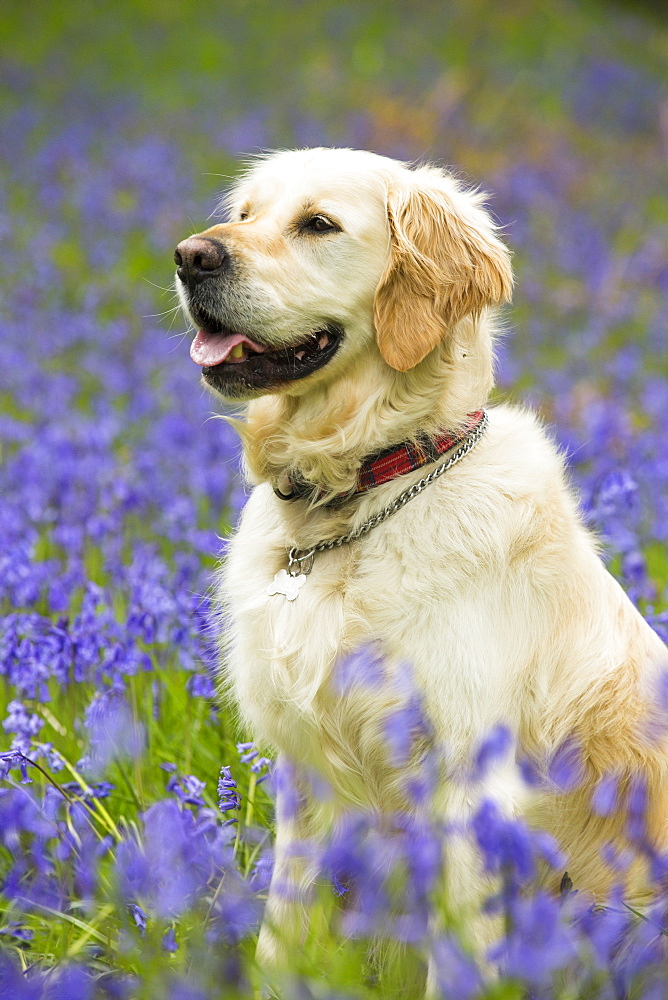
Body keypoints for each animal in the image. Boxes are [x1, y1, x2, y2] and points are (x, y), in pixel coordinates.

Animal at [174, 148, 668, 992]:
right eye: (243, 215)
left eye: (318, 224)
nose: (189, 256)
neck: (354, 499)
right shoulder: (305, 778)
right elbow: (281, 934)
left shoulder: (469, 778)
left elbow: (457, 955)